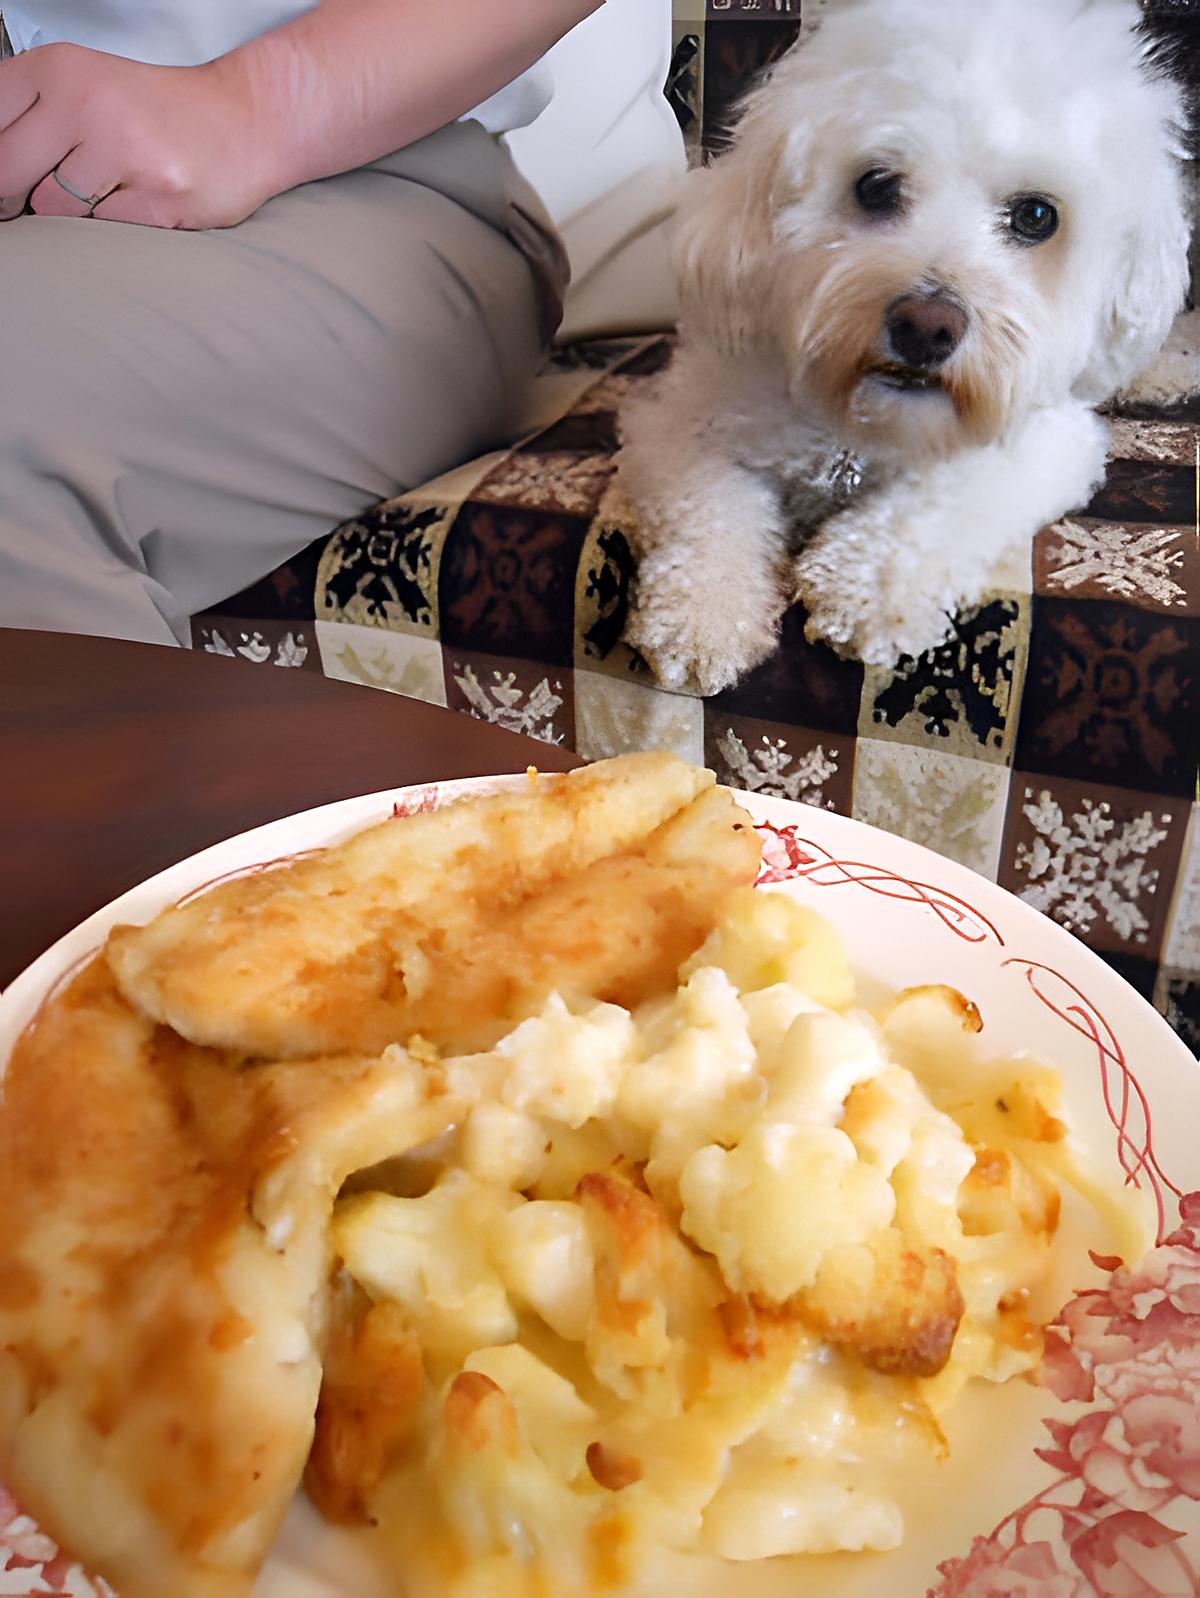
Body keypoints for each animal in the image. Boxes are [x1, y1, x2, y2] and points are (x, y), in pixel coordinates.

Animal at [619, 0, 1195, 687]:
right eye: (875, 185)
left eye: (1035, 216)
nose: (927, 326)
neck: (857, 432)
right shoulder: (681, 416)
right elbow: (709, 500)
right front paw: (704, 611)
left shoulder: (1045, 442)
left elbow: (943, 497)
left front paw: (861, 587)